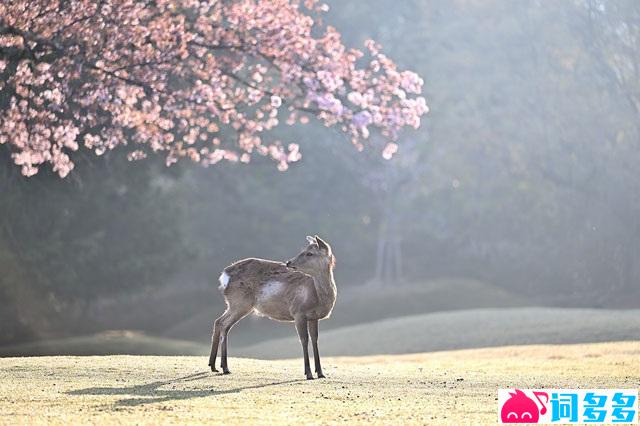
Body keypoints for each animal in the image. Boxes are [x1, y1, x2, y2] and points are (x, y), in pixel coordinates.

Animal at [210, 236, 340, 380]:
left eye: (309, 253)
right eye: (303, 250)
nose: (288, 262)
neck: (317, 297)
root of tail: (224, 275)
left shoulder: (313, 317)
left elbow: (315, 339)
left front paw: (321, 373)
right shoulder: (298, 312)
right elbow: (304, 340)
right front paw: (309, 373)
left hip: (235, 304)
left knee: (219, 322)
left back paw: (214, 366)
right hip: (239, 302)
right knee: (223, 324)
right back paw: (225, 367)